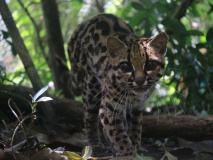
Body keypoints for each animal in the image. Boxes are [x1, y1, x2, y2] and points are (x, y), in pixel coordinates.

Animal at [68, 13, 168, 156]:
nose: (139, 80)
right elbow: (118, 135)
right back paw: (95, 145)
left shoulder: (137, 107)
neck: (134, 95)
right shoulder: (108, 108)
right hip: (91, 85)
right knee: (89, 117)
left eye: (150, 64)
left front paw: (136, 147)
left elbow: (136, 127)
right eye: (126, 66)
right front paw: (128, 153)